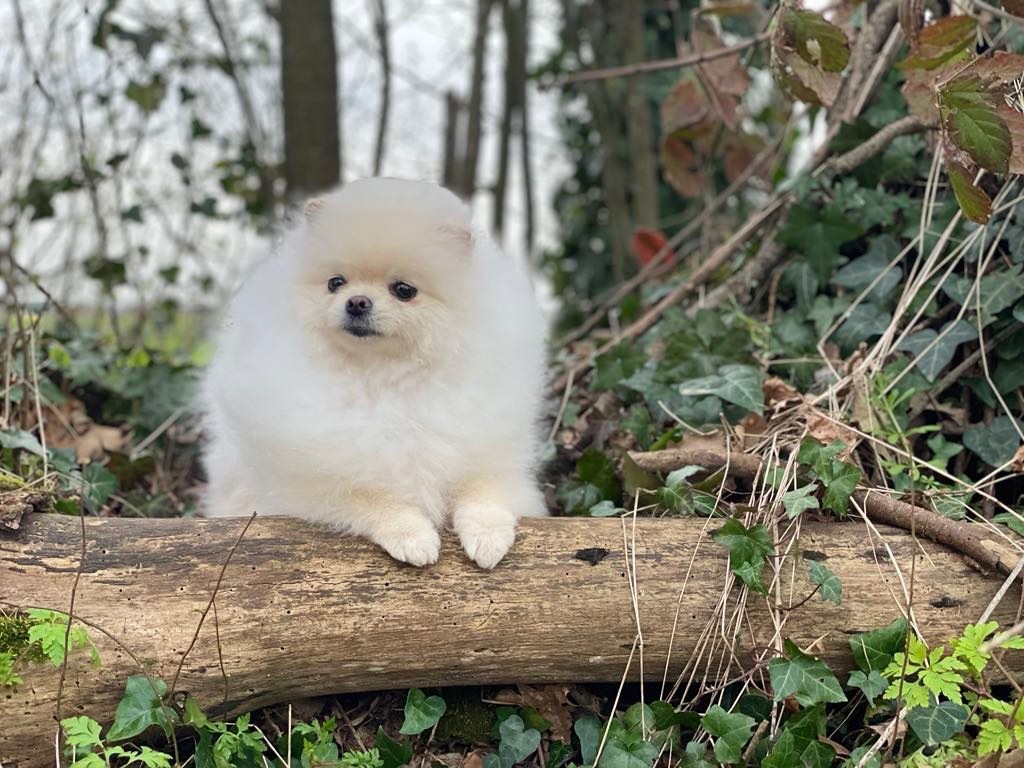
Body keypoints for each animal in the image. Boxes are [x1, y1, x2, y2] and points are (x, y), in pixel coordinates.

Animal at [201, 177, 552, 569]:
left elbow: (487, 493)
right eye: (335, 283)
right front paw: (413, 537)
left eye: (403, 290)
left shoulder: (483, 453)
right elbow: (375, 500)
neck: (385, 379)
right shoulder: (316, 481)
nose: (357, 302)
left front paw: (489, 538)